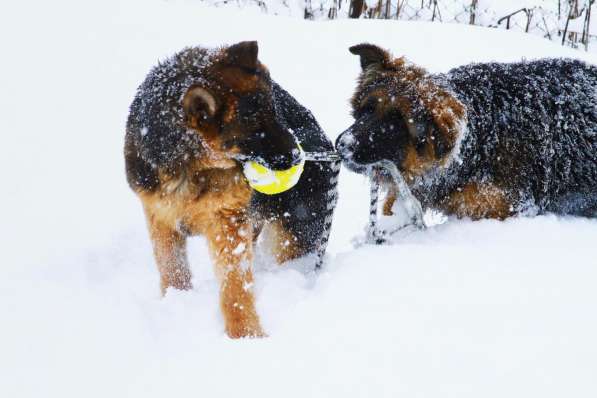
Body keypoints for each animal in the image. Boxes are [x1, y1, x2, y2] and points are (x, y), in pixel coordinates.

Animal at [123, 42, 338, 338]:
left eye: (276, 113)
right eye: (256, 131)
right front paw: (177, 300)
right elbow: (172, 268)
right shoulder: (160, 217)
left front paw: (245, 333)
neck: (192, 166)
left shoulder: (227, 221)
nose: (299, 158)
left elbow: (235, 282)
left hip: (295, 234)